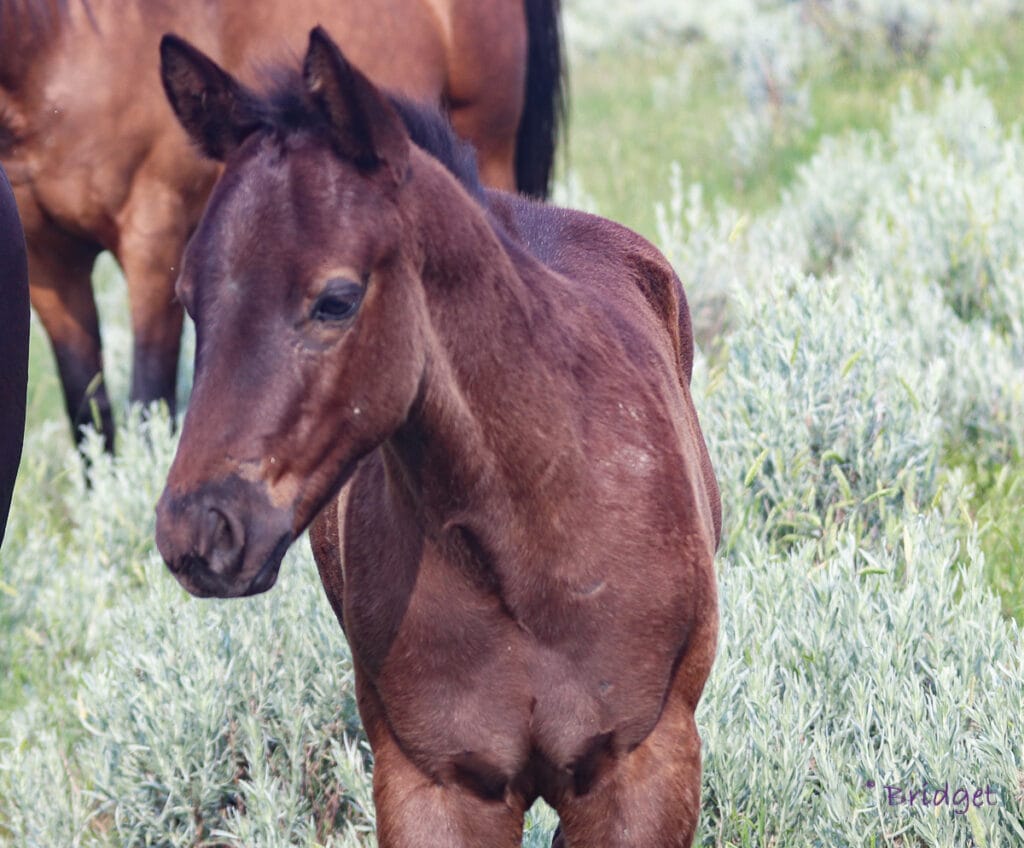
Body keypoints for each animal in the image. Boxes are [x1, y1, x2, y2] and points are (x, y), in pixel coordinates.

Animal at [0, 0, 565, 450]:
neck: (62, 42)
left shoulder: (153, 242)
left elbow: (147, 409)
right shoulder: (50, 267)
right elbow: (89, 417)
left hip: (487, 148)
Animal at [157, 26, 720, 847]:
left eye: (336, 299)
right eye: (190, 297)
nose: (198, 531)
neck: (521, 540)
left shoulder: (643, 769)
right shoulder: (433, 786)